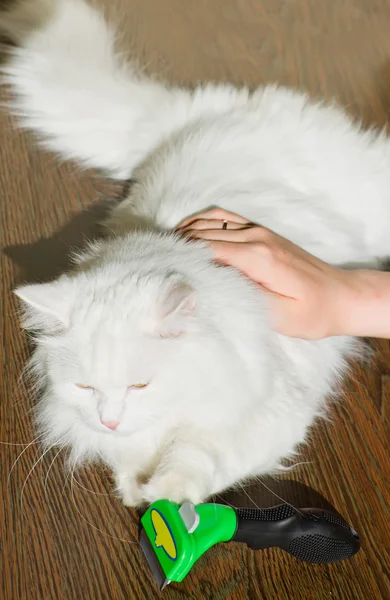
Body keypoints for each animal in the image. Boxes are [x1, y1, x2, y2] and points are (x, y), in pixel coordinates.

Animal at [2, 0, 386, 506]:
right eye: (85, 387)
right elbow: (129, 457)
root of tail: (206, 108)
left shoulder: (269, 414)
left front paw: (167, 493)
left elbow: (199, 456)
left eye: (140, 385)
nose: (110, 419)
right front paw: (135, 490)